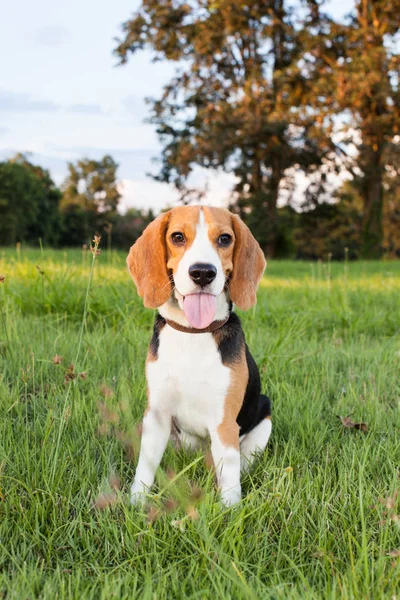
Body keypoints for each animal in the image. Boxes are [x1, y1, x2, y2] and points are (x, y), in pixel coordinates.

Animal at [127, 206, 272, 506]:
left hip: (265, 414)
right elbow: (145, 464)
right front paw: (136, 503)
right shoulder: (156, 415)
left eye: (225, 239)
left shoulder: (224, 422)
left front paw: (231, 510)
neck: (193, 334)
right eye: (177, 237)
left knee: (244, 460)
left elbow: (229, 475)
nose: (203, 273)